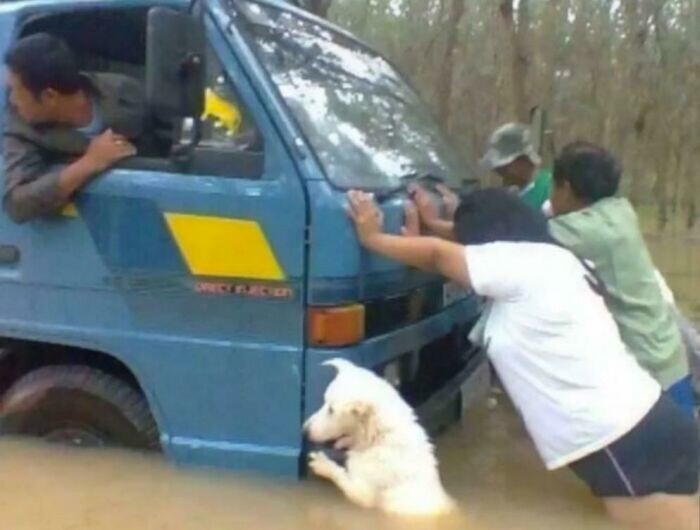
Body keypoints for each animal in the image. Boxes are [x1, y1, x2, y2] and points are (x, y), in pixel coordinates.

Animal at [304, 356, 456, 512]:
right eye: (324, 402)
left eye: (331, 410)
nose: (304, 430)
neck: (382, 438)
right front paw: (343, 443)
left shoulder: (362, 492)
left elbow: (339, 475)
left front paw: (323, 465)